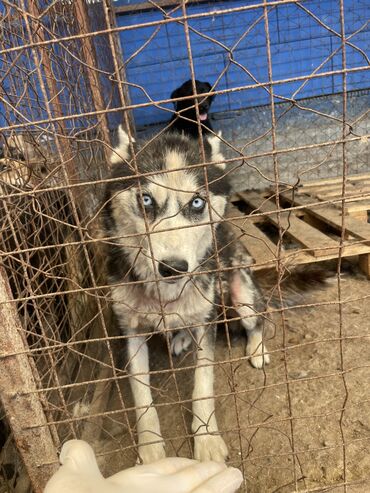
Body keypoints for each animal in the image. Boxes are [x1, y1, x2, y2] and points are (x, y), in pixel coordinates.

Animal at [102, 125, 268, 464]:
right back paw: (179, 337)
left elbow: (203, 386)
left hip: (242, 295)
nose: (174, 268)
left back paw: (257, 348)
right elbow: (141, 397)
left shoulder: (207, 322)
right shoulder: (131, 331)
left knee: (258, 319)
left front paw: (206, 439)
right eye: (146, 199)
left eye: (196, 203)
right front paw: (150, 449)